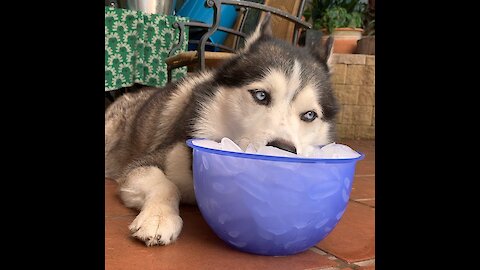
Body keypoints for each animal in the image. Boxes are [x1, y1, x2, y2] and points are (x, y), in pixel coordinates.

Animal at [106, 15, 338, 247]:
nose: (283, 150)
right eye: (261, 95)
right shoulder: (147, 162)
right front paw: (158, 217)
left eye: (309, 115)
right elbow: (165, 184)